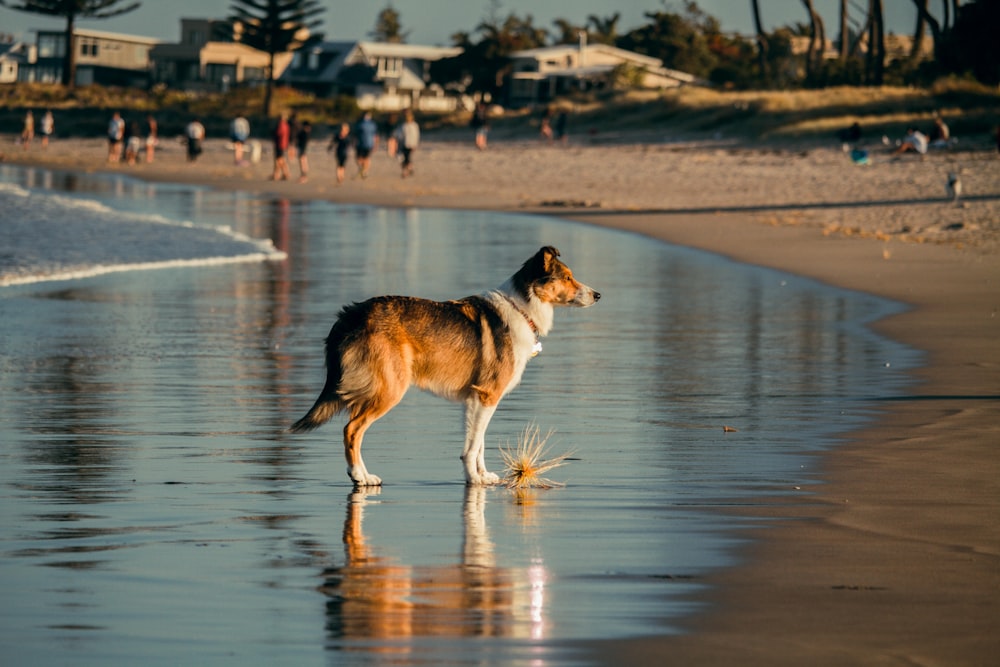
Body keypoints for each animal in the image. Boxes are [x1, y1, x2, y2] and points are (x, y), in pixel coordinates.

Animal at [290, 245, 600, 486]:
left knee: (355, 430)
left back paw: (364, 475)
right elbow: (472, 447)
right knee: (351, 430)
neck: (521, 308)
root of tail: (350, 314)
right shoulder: (487, 396)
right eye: (568, 278)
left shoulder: (476, 399)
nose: (597, 295)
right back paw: (359, 477)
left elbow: (478, 443)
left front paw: (483, 476)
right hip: (390, 389)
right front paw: (473, 480)